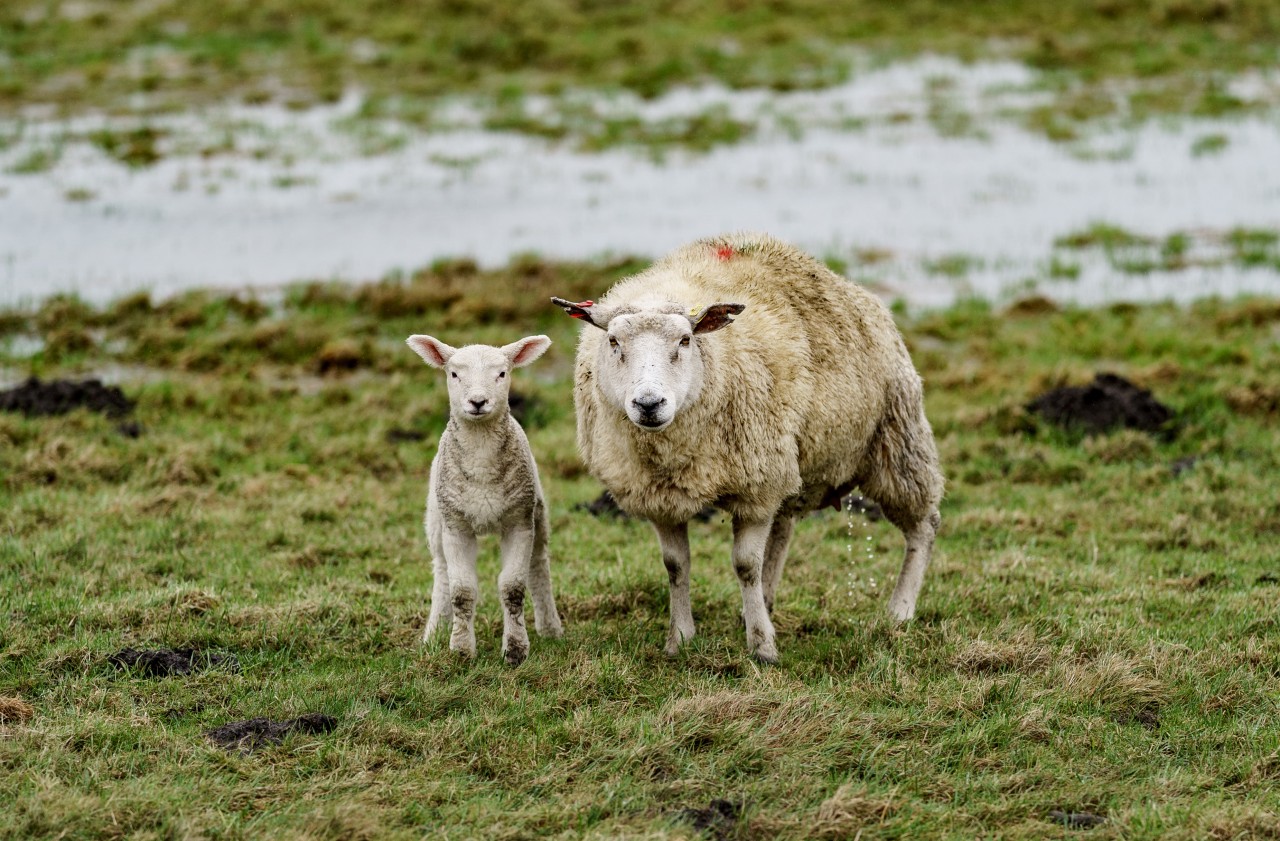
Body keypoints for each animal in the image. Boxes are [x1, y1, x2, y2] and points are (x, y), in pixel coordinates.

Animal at [404, 330, 565, 665]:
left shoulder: (519, 522)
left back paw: (550, 628)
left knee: (539, 564)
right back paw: (434, 633)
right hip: (436, 519)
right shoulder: (456, 526)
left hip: (538, 511)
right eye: (454, 374)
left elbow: (513, 588)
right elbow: (462, 591)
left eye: (502, 373)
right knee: (442, 573)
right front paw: (461, 650)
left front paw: (515, 650)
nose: (477, 401)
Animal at [550, 231, 942, 660]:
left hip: (895, 442)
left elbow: (745, 566)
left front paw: (762, 646)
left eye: (685, 340)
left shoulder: (756, 488)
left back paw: (900, 610)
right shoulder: (661, 498)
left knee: (923, 527)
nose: (649, 404)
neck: (671, 456)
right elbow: (675, 565)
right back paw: (766, 603)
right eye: (614, 341)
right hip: (793, 464)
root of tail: (865, 297)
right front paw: (680, 638)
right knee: (783, 530)